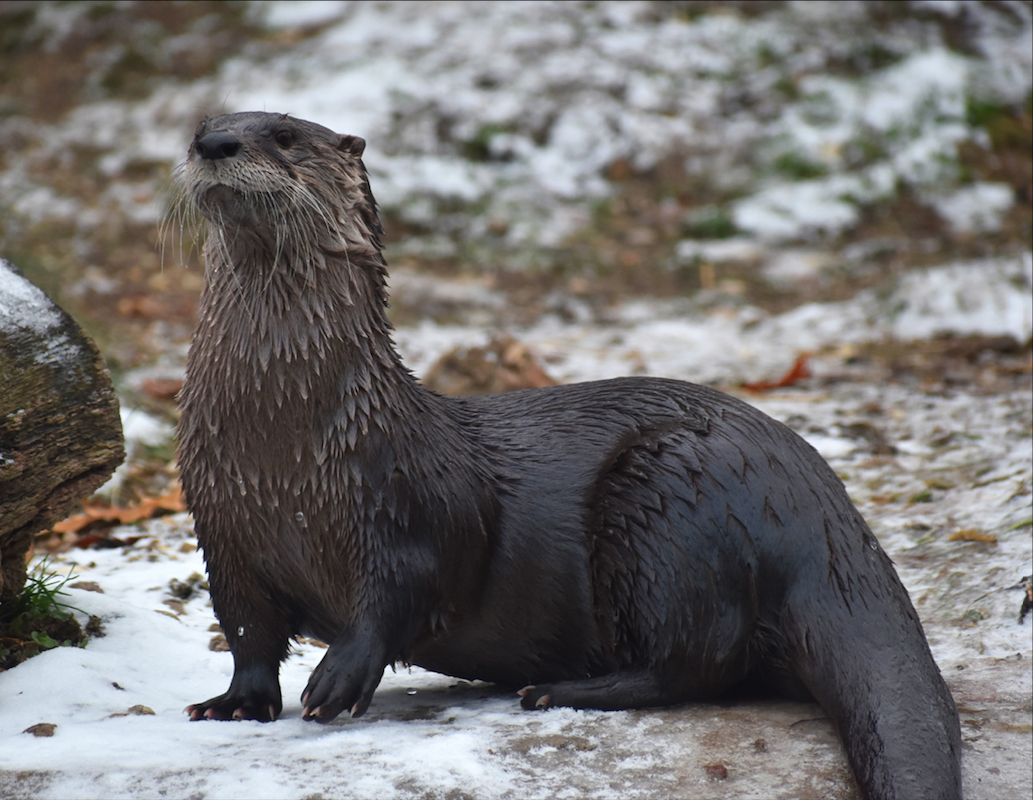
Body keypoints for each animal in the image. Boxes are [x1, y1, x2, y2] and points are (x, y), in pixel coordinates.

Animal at [176, 112, 962, 800]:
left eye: (284, 135)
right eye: (205, 124)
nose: (213, 143)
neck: (284, 454)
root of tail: (824, 514)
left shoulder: (408, 499)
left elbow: (405, 588)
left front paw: (338, 677)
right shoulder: (221, 526)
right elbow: (245, 628)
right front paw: (233, 702)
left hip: (669, 498)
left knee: (690, 665)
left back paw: (558, 690)